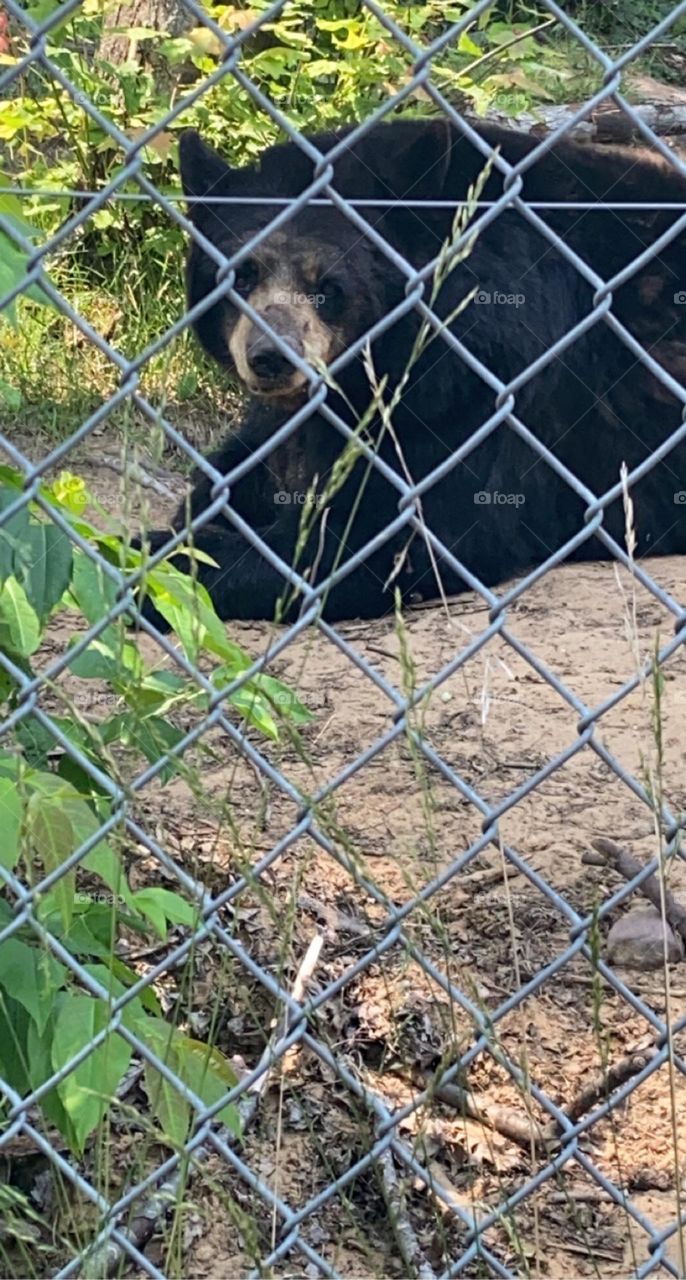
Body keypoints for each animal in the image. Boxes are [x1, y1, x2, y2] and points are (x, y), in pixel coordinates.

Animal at [137, 115, 686, 629]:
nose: (272, 356)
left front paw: (164, 560)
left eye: (329, 286)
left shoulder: (485, 376)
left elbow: (394, 536)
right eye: (242, 273)